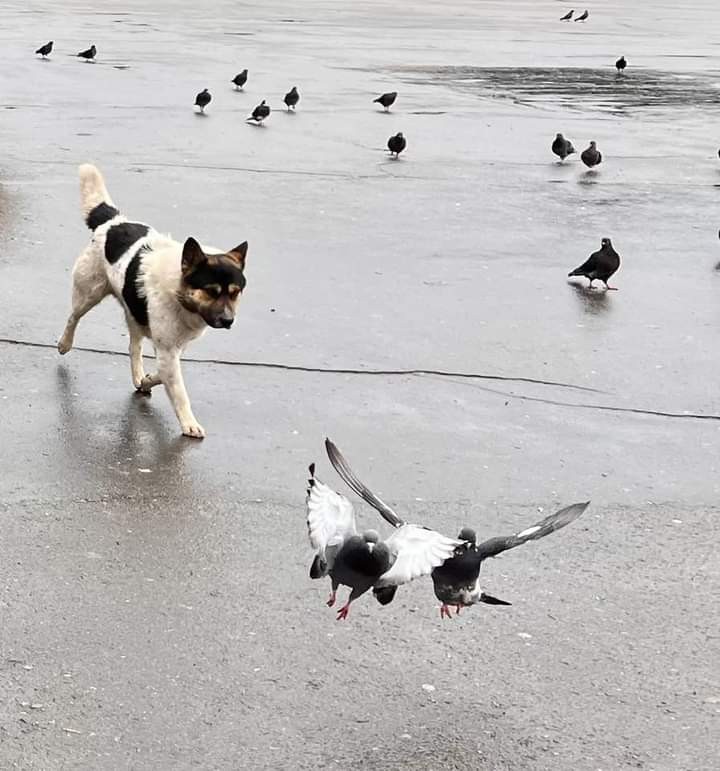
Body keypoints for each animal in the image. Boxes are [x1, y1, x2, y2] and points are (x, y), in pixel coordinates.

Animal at [57, 165, 248, 438]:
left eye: (234, 292)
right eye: (211, 291)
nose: (228, 320)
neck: (180, 292)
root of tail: (114, 222)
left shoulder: (174, 348)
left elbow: (161, 374)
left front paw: (146, 380)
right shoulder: (168, 349)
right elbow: (178, 390)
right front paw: (189, 422)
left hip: (133, 311)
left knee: (133, 346)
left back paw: (138, 375)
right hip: (88, 293)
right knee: (73, 317)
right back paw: (65, 343)